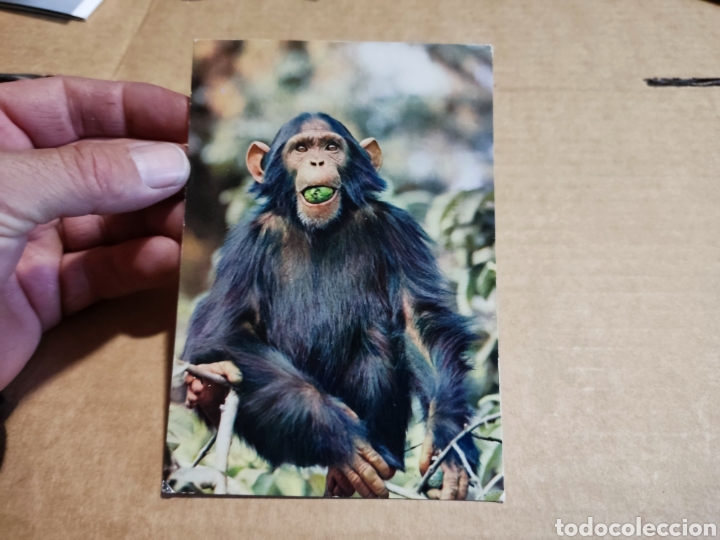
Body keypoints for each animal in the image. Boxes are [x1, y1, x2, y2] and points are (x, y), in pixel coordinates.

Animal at [181, 112, 479, 499]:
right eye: (301, 149)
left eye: (331, 146)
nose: (317, 162)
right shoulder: (246, 245)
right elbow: (224, 331)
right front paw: (343, 436)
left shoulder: (397, 229)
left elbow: (417, 320)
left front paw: (448, 443)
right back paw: (207, 389)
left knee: (375, 340)